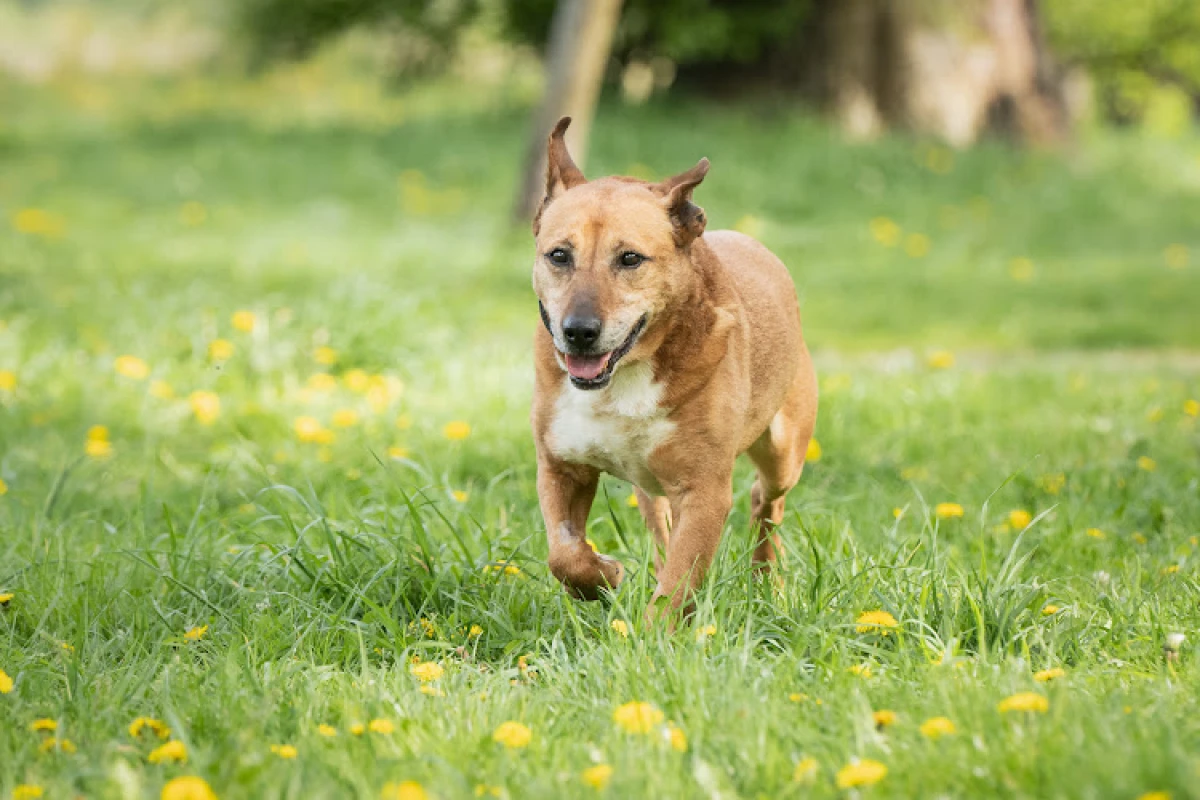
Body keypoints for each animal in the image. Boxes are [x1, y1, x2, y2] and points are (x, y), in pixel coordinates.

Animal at [530, 117, 817, 620]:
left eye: (630, 258)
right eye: (559, 255)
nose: (579, 331)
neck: (621, 380)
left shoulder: (703, 491)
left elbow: (679, 583)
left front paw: (650, 634)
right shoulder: (561, 465)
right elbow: (563, 554)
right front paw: (603, 576)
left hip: (784, 451)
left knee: (766, 503)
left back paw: (767, 582)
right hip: (650, 487)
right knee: (661, 526)